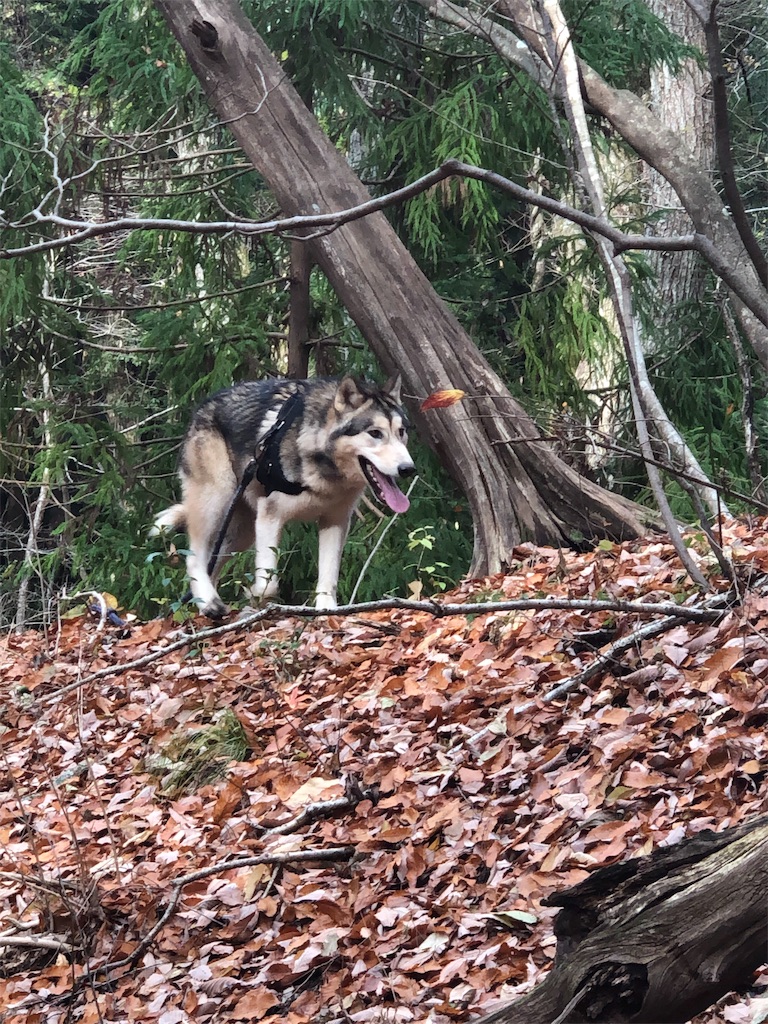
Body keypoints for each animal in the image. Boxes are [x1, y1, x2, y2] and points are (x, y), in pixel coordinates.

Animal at [153, 375, 414, 617]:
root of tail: (202, 407)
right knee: (194, 558)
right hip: (217, 501)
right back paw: (209, 603)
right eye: (375, 433)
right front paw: (257, 598)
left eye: (401, 432)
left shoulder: (335, 522)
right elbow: (267, 583)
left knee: (213, 565)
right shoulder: (270, 518)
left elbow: (328, 577)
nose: (408, 469)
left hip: (241, 532)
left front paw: (326, 611)